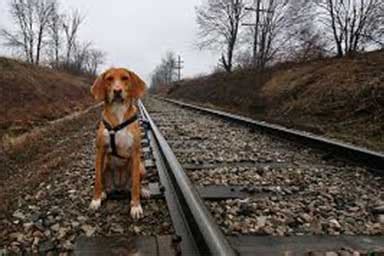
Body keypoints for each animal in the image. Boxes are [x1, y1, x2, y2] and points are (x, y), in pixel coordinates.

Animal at [89, 67, 148, 219]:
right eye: (109, 79)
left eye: (125, 78)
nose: (117, 90)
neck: (118, 111)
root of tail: (119, 187)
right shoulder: (100, 151)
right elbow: (97, 180)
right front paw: (95, 200)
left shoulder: (135, 152)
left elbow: (135, 185)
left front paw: (136, 206)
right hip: (104, 163)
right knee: (103, 182)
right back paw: (103, 193)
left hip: (141, 167)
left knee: (135, 184)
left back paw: (143, 191)